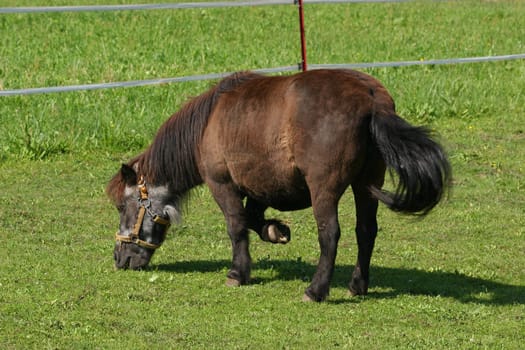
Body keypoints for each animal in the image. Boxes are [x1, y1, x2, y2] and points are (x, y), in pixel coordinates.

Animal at [106, 68, 450, 300]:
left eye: (123, 206)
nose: (120, 259)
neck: (207, 124)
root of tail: (370, 98)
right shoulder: (260, 186)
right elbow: (253, 218)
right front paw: (275, 230)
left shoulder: (222, 183)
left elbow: (237, 226)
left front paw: (238, 273)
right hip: (367, 184)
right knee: (366, 231)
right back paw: (357, 285)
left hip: (325, 189)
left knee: (330, 235)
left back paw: (316, 290)